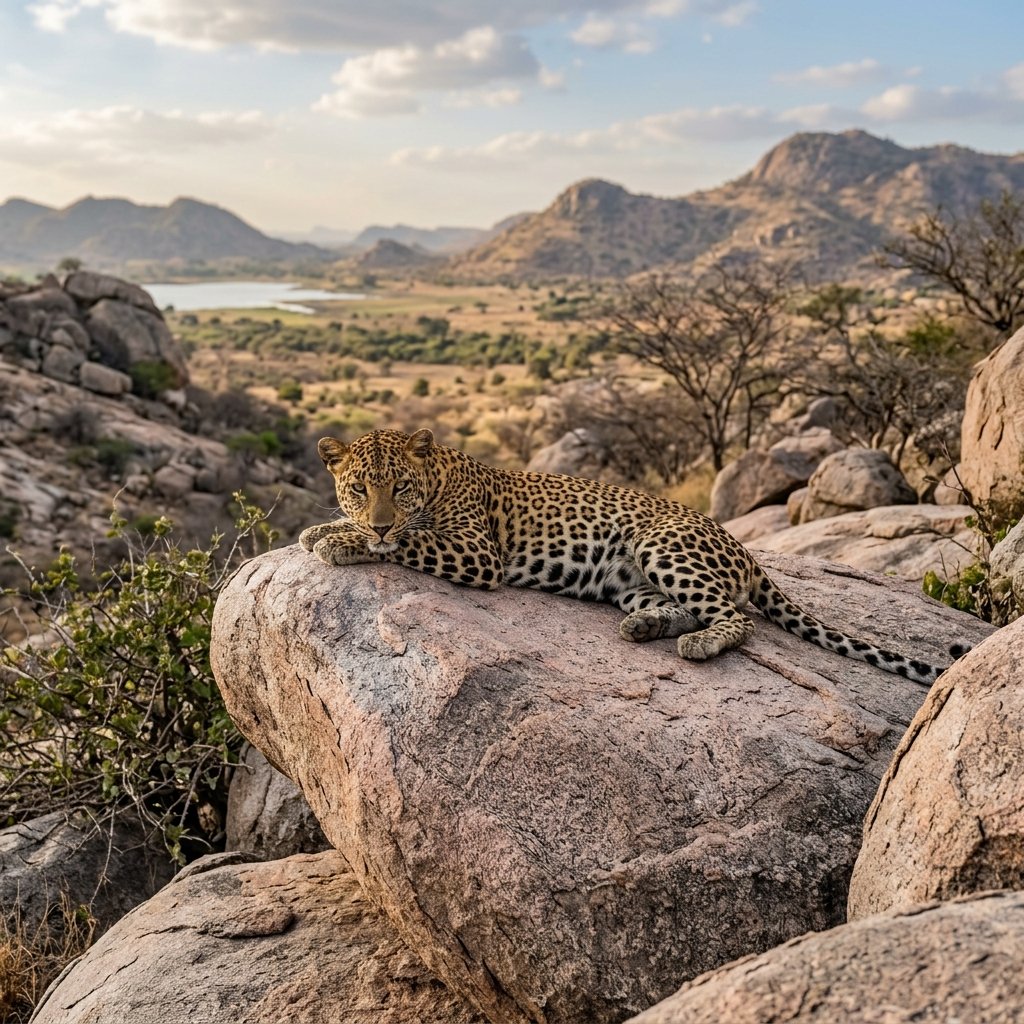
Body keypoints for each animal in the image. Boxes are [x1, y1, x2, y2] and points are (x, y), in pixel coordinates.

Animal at [299, 428, 969, 685]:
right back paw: (644, 627)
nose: (377, 516)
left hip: (661, 544)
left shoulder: (475, 551)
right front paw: (323, 528)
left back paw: (698, 644)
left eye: (400, 488)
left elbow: (407, 542)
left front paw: (343, 542)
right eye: (358, 487)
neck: (438, 477)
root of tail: (746, 550)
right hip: (629, 577)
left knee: (736, 617)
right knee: (682, 606)